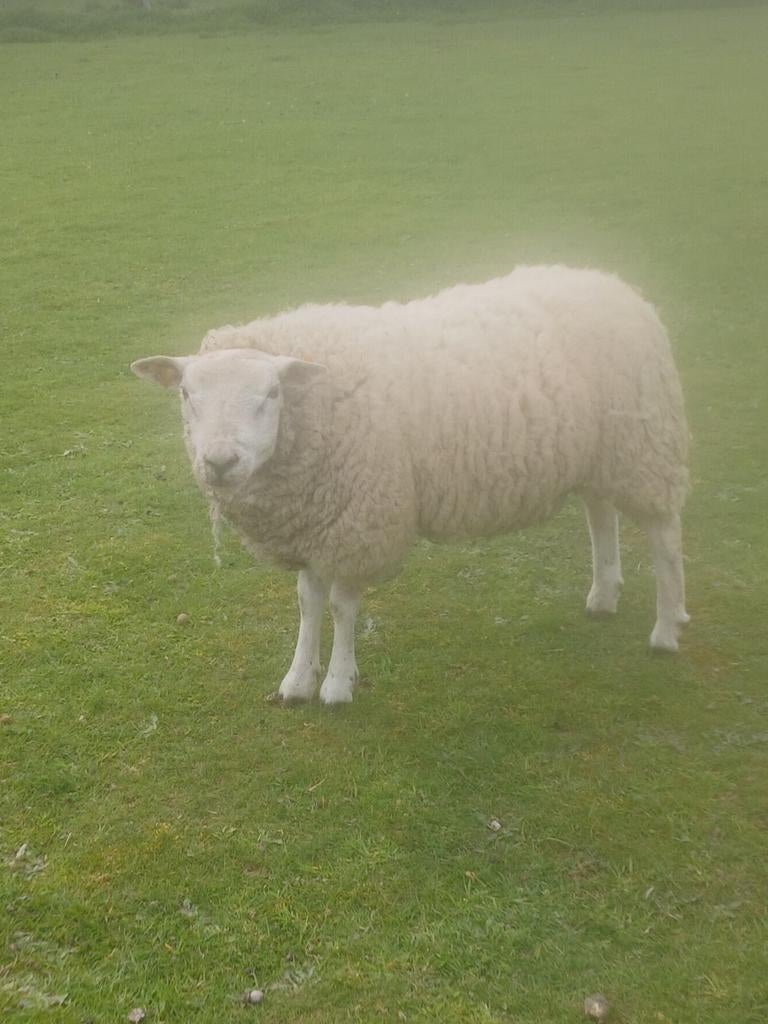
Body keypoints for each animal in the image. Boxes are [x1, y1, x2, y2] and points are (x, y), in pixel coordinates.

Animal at [131, 265, 690, 705]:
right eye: (187, 394)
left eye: (271, 393)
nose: (220, 462)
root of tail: (614, 284)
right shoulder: (314, 522)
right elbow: (308, 601)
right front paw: (297, 680)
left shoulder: (359, 518)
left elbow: (341, 605)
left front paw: (337, 685)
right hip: (600, 451)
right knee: (601, 513)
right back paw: (603, 595)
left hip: (644, 443)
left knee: (664, 534)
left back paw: (666, 627)